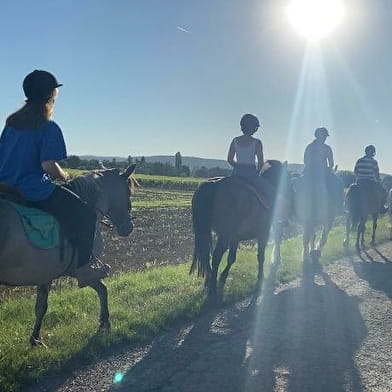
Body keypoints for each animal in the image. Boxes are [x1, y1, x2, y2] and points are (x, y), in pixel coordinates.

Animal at [0, 164, 136, 344]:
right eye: (128, 192)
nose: (129, 227)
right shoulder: (82, 271)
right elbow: (103, 290)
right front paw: (104, 323)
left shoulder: (46, 275)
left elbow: (41, 307)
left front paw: (34, 339)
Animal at [188, 161, 292, 296]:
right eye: (288, 177)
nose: (292, 193)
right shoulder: (263, 233)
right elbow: (261, 256)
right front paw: (261, 278)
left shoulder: (235, 238)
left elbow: (231, 258)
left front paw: (223, 276)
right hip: (224, 235)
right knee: (216, 256)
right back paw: (212, 287)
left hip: (207, 233)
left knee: (207, 256)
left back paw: (209, 281)